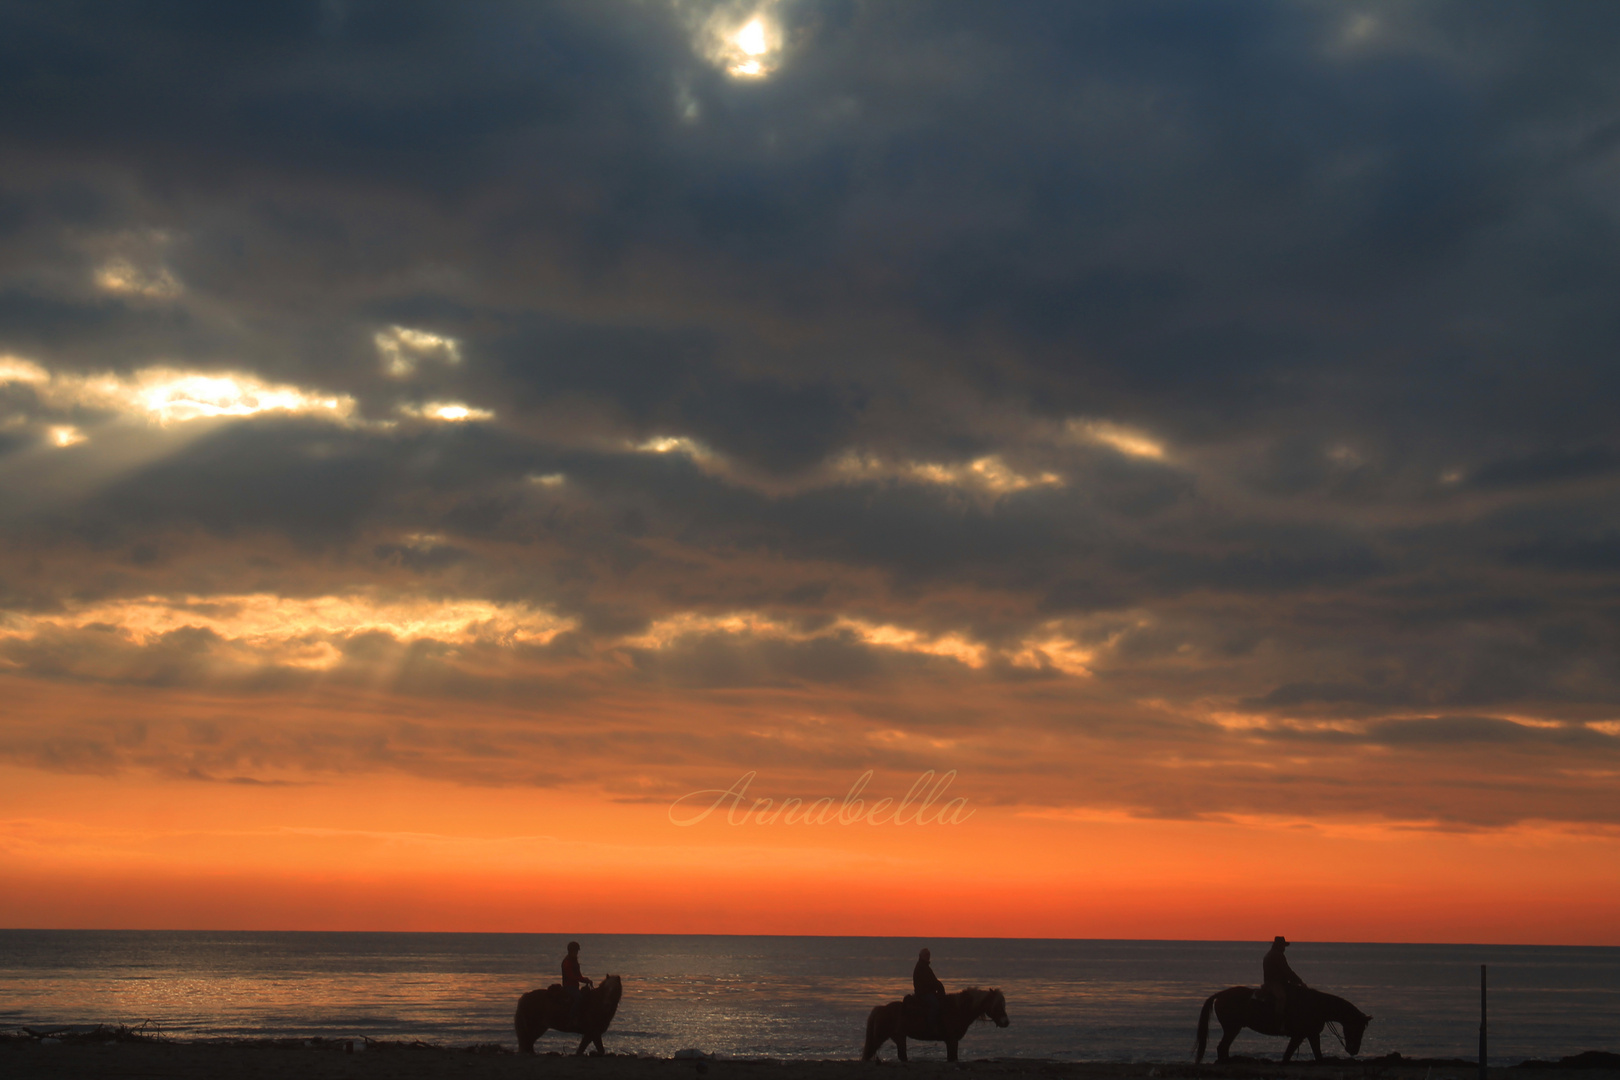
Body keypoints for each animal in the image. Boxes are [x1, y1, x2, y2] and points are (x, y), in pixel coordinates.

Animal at [868, 990, 1004, 1062]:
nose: (1006, 1022)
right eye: (998, 1005)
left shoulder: (950, 1041)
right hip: (881, 1037)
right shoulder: (952, 1040)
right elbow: (953, 1058)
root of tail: (881, 1008)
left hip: (899, 1037)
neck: (957, 1009)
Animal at [1198, 990, 1373, 1062]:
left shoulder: (1309, 1035)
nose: (1354, 1050)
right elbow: (1290, 1055)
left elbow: (1314, 1055)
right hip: (1232, 1028)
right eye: (1357, 1028)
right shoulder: (1300, 1035)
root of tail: (1220, 995)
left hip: (1232, 1029)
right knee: (1222, 1047)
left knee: (1223, 1048)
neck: (1318, 1006)